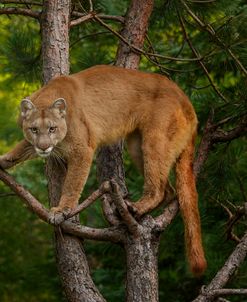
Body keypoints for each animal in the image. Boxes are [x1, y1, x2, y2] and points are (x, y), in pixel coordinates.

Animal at [0, 65, 206, 274]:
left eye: (52, 128)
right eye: (34, 129)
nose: (43, 147)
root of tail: (185, 99)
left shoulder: (83, 150)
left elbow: (72, 184)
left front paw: (62, 210)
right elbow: (21, 148)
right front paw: (3, 160)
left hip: (155, 140)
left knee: (158, 188)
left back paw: (136, 207)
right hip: (136, 145)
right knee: (169, 191)